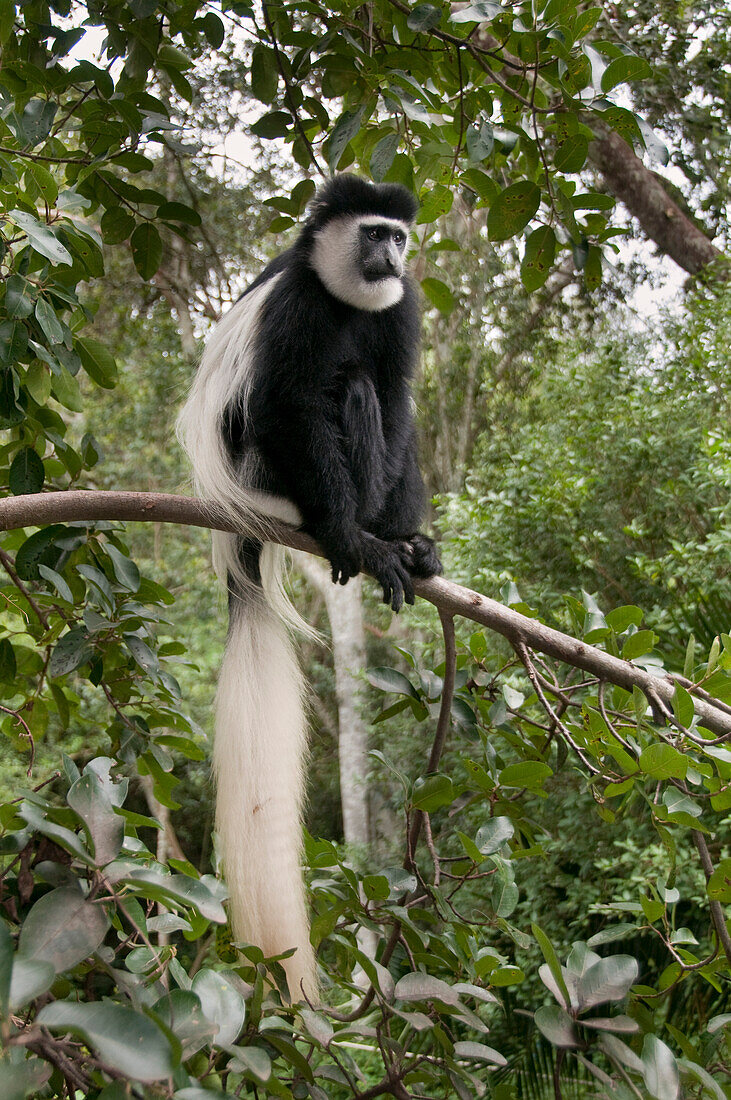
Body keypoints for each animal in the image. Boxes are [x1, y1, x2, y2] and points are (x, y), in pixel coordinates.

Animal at [178, 171, 439, 998]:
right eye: (372, 233)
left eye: (397, 234)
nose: (391, 255)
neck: (344, 299)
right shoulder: (295, 308)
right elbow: (289, 400)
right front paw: (357, 538)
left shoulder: (400, 308)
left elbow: (397, 398)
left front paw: (398, 541)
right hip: (264, 471)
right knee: (336, 391)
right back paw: (348, 533)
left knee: (381, 401)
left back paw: (402, 544)